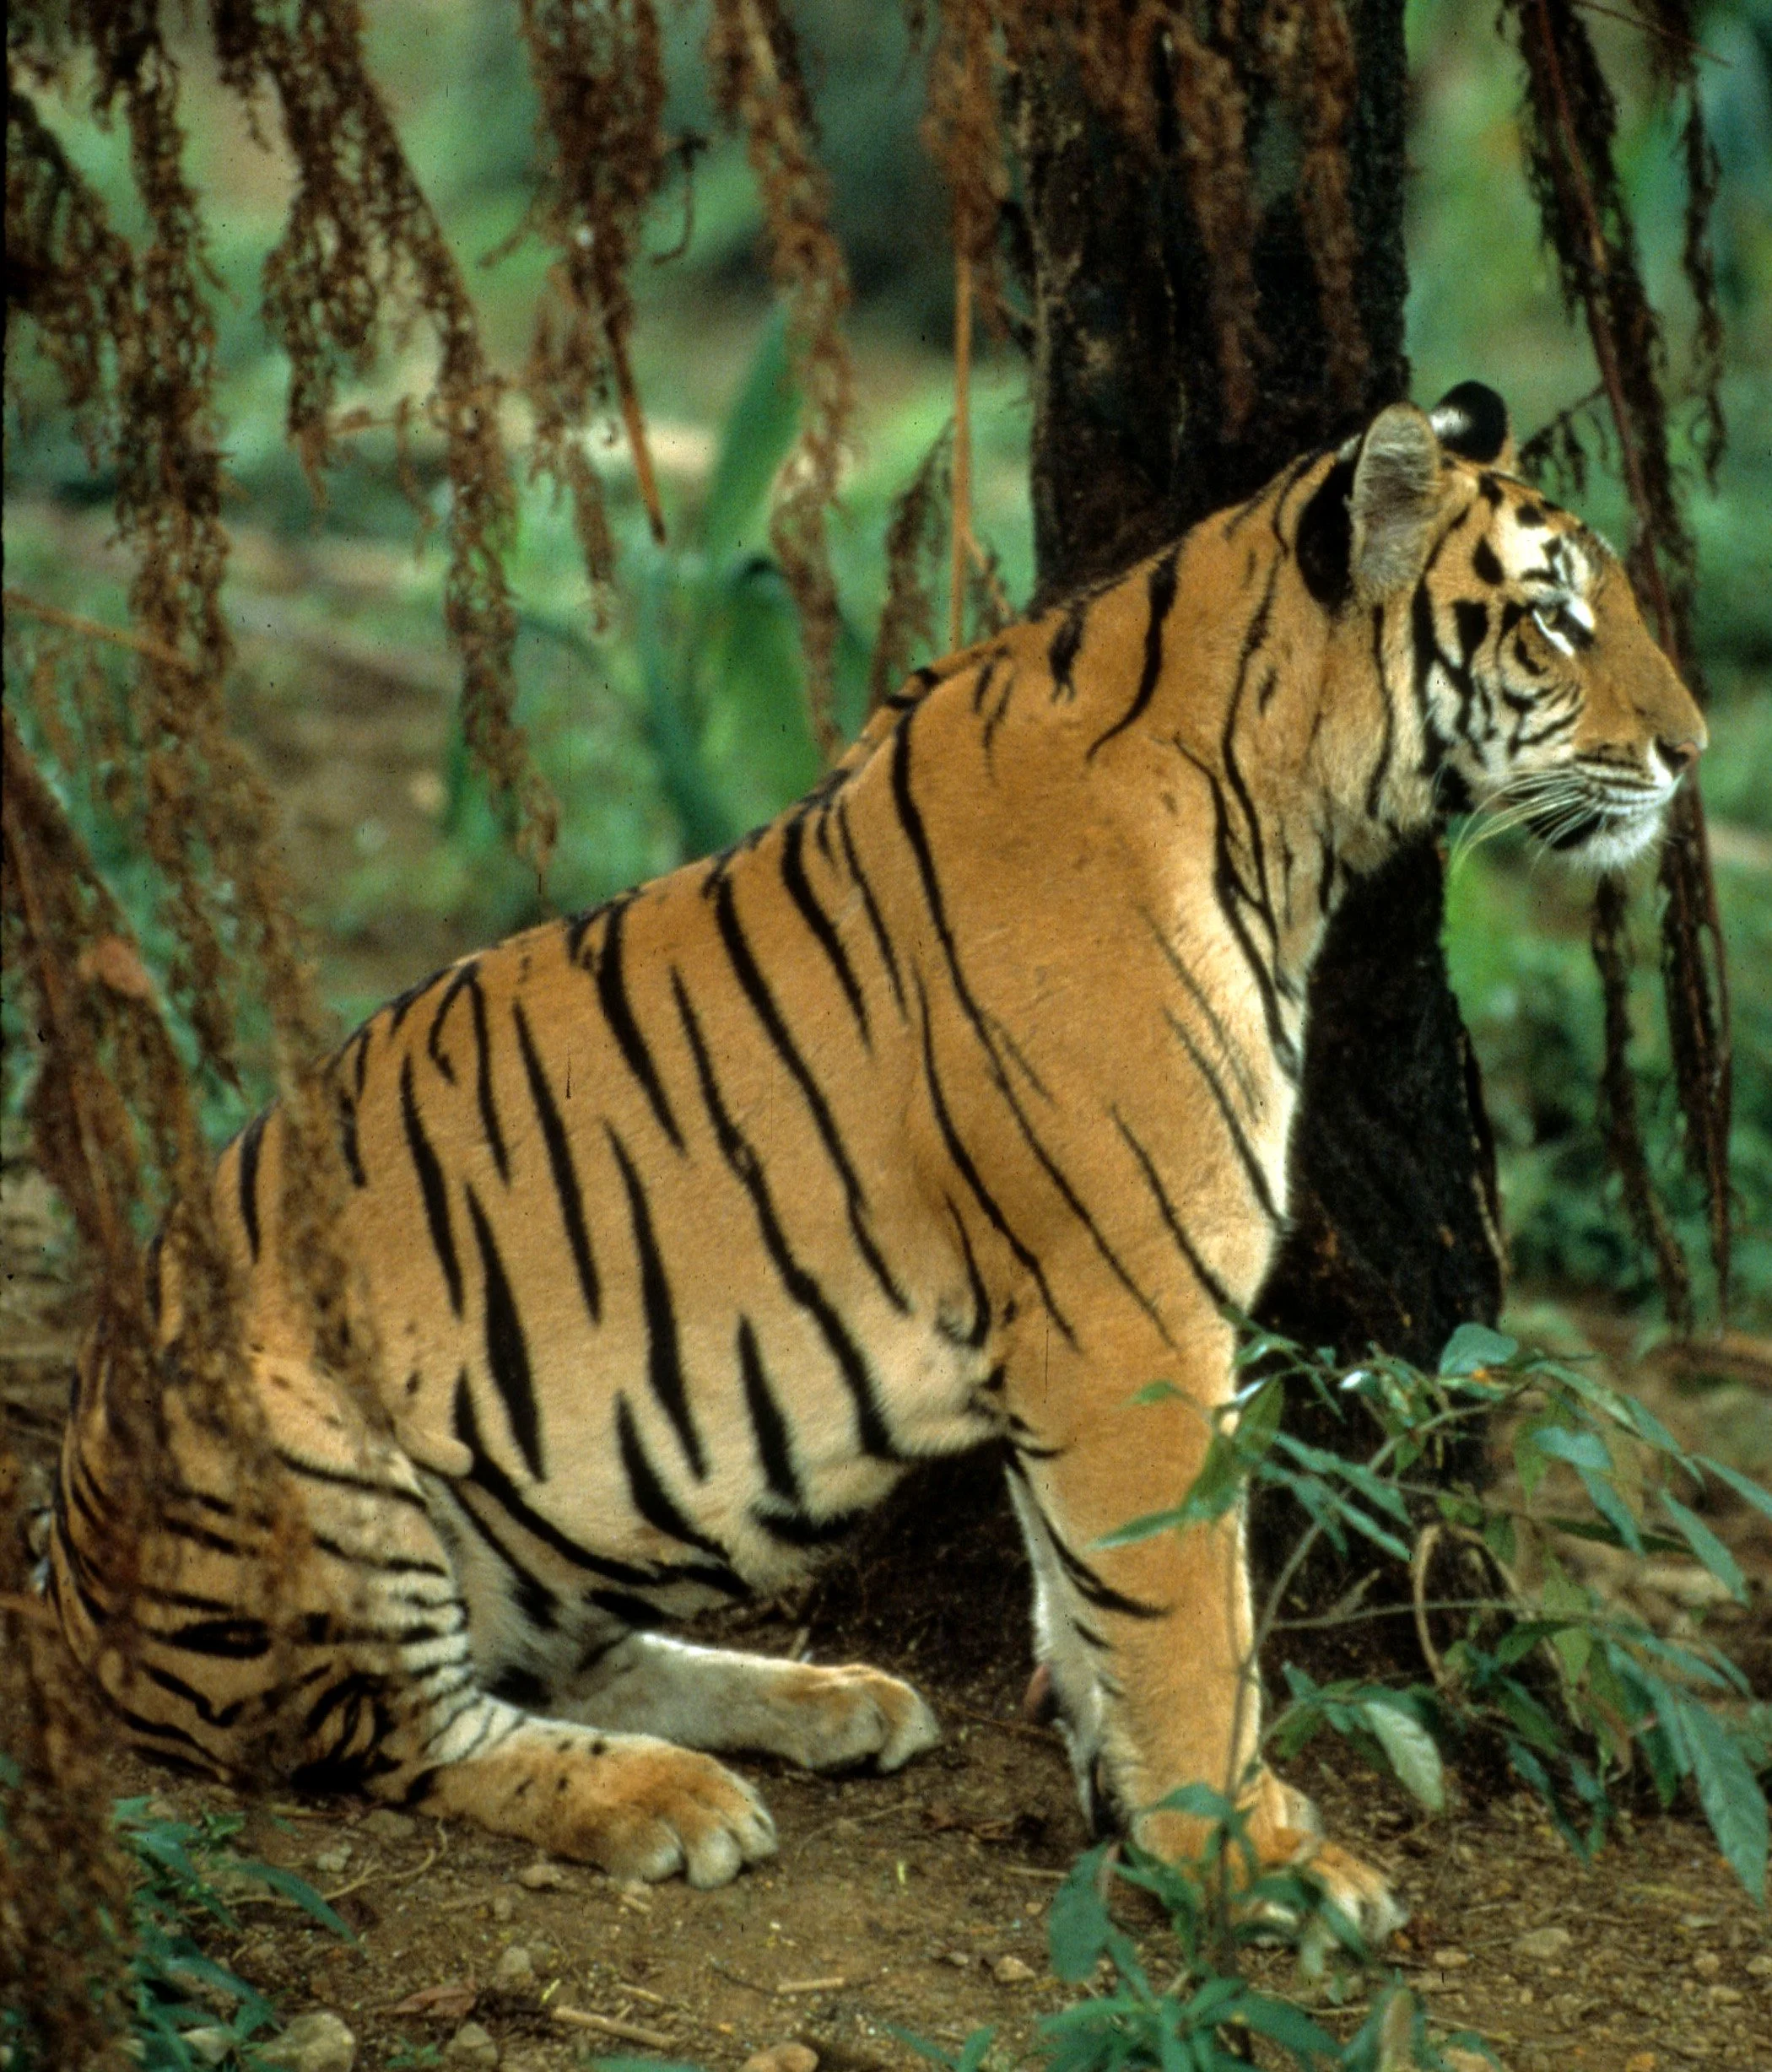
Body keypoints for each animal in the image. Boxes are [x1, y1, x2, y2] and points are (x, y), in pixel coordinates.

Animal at [50, 383, 1705, 1936]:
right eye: (1557, 617)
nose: (1691, 755)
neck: (1284, 818)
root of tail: (62, 1562)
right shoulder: (1134, 1326)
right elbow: (1183, 1616)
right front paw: (1245, 1862)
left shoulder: (1096, 1337)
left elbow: (1090, 1602)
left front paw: (1161, 1811)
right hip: (318, 1467)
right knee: (408, 1730)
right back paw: (673, 1800)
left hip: (561, 1533)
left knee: (566, 1661)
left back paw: (829, 1702)